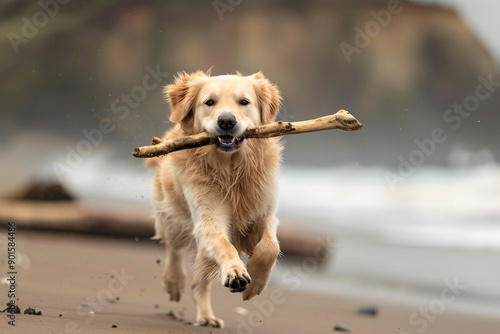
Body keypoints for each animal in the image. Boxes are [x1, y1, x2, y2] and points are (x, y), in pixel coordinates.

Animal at [147, 70, 282, 326]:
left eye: (244, 102)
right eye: (209, 102)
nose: (226, 121)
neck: (230, 170)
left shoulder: (265, 213)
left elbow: (270, 246)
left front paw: (256, 281)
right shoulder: (208, 218)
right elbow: (223, 244)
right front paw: (236, 272)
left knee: (198, 282)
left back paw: (207, 316)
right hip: (173, 214)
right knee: (173, 248)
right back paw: (174, 282)